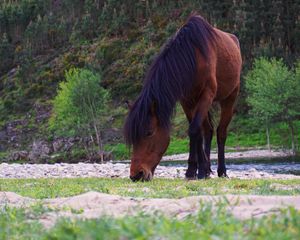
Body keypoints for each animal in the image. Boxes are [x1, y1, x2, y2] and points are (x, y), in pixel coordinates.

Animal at [123, 14, 241, 181]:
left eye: (149, 132)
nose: (136, 175)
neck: (193, 57)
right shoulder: (187, 101)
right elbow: (195, 132)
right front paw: (195, 170)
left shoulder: (206, 95)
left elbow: (194, 130)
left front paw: (197, 171)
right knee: (208, 131)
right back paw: (207, 169)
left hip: (229, 98)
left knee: (221, 133)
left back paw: (222, 171)